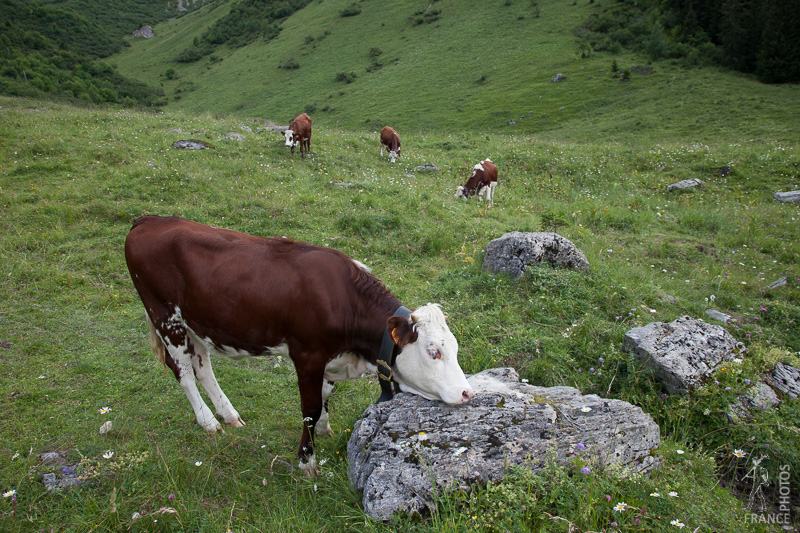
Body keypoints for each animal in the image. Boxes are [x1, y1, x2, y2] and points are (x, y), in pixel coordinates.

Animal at [124, 214, 472, 476]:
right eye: (433, 351)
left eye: (454, 349)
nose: (468, 393)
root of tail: (150, 220)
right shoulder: (307, 354)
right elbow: (310, 408)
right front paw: (307, 459)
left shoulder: (331, 358)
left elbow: (327, 394)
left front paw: (326, 428)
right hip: (165, 316)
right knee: (183, 371)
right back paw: (208, 421)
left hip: (196, 322)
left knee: (203, 367)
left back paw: (229, 414)